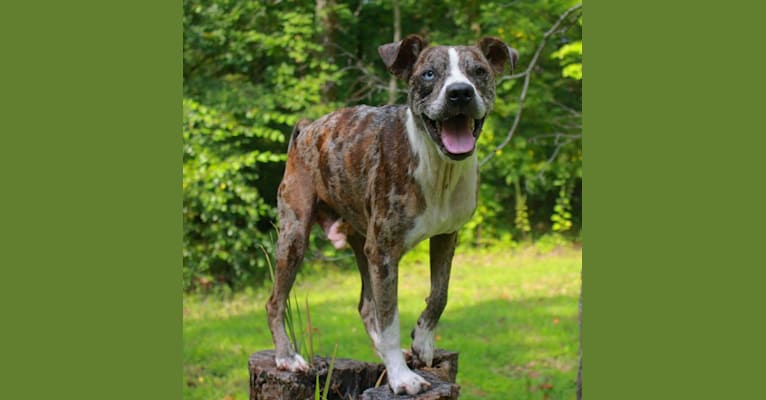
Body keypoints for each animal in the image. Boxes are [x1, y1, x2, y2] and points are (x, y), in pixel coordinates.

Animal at [268, 33, 520, 394]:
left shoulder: (446, 236)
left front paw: (422, 343)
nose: (460, 92)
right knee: (276, 302)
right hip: (295, 237)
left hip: (362, 244)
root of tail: (307, 128)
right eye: (429, 74)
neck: (437, 168)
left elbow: (439, 294)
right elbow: (390, 317)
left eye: (479, 71)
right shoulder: (385, 252)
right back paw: (287, 357)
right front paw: (402, 377)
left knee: (365, 306)